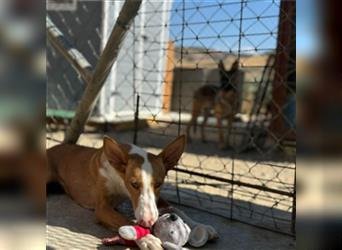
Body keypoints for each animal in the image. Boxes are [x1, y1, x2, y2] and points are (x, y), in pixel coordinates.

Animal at [46, 136, 218, 249]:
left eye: (159, 184)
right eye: (134, 184)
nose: (148, 222)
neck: (120, 180)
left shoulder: (158, 199)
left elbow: (176, 209)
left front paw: (200, 226)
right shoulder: (102, 208)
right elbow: (124, 220)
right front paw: (148, 239)